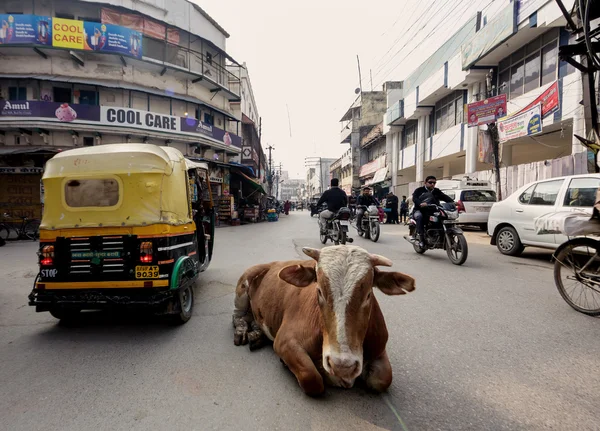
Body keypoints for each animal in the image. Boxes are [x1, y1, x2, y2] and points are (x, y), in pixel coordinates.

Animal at [232, 245, 414, 396]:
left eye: (368, 294)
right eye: (319, 291)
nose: (342, 365)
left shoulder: (380, 347)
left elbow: (383, 379)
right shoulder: (284, 341)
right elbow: (312, 379)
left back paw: (256, 335)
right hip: (244, 282)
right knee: (238, 315)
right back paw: (242, 331)